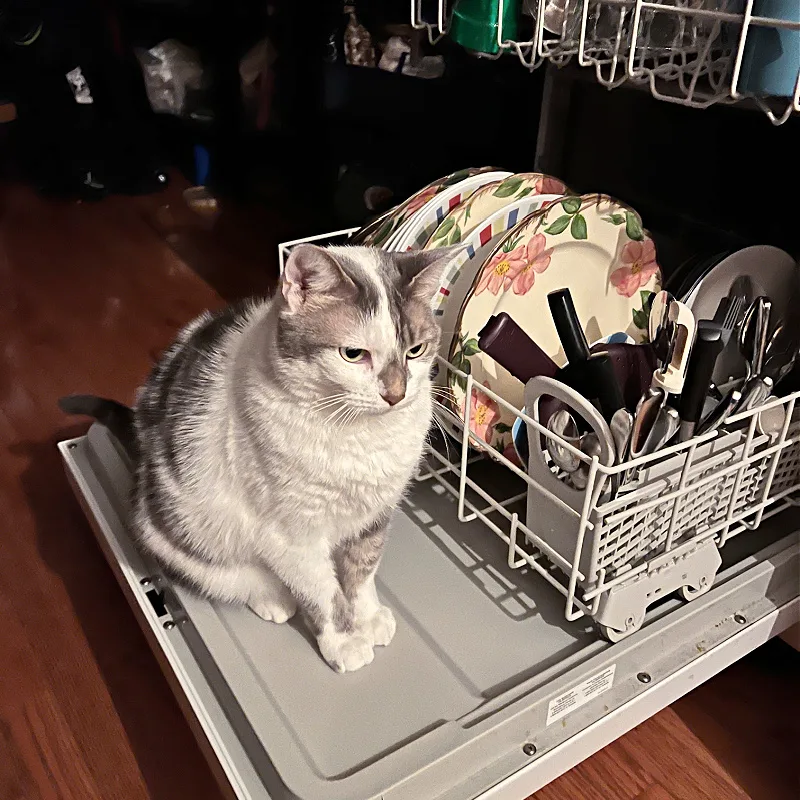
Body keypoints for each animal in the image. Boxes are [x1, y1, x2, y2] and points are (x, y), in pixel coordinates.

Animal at [62, 245, 456, 676]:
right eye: (353, 354)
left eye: (415, 351)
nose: (396, 394)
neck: (360, 436)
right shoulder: (292, 535)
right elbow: (324, 592)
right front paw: (345, 640)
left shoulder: (375, 514)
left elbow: (362, 572)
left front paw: (367, 618)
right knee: (235, 577)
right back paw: (273, 598)